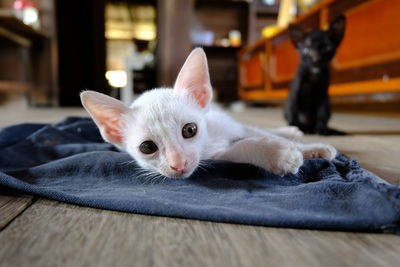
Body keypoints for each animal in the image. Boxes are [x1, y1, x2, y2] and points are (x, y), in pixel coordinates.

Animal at [79, 48, 336, 179]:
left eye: (190, 130)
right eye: (147, 147)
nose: (178, 164)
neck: (211, 139)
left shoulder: (229, 126)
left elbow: (258, 133)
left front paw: (313, 148)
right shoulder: (217, 157)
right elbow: (243, 147)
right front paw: (279, 155)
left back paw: (292, 131)